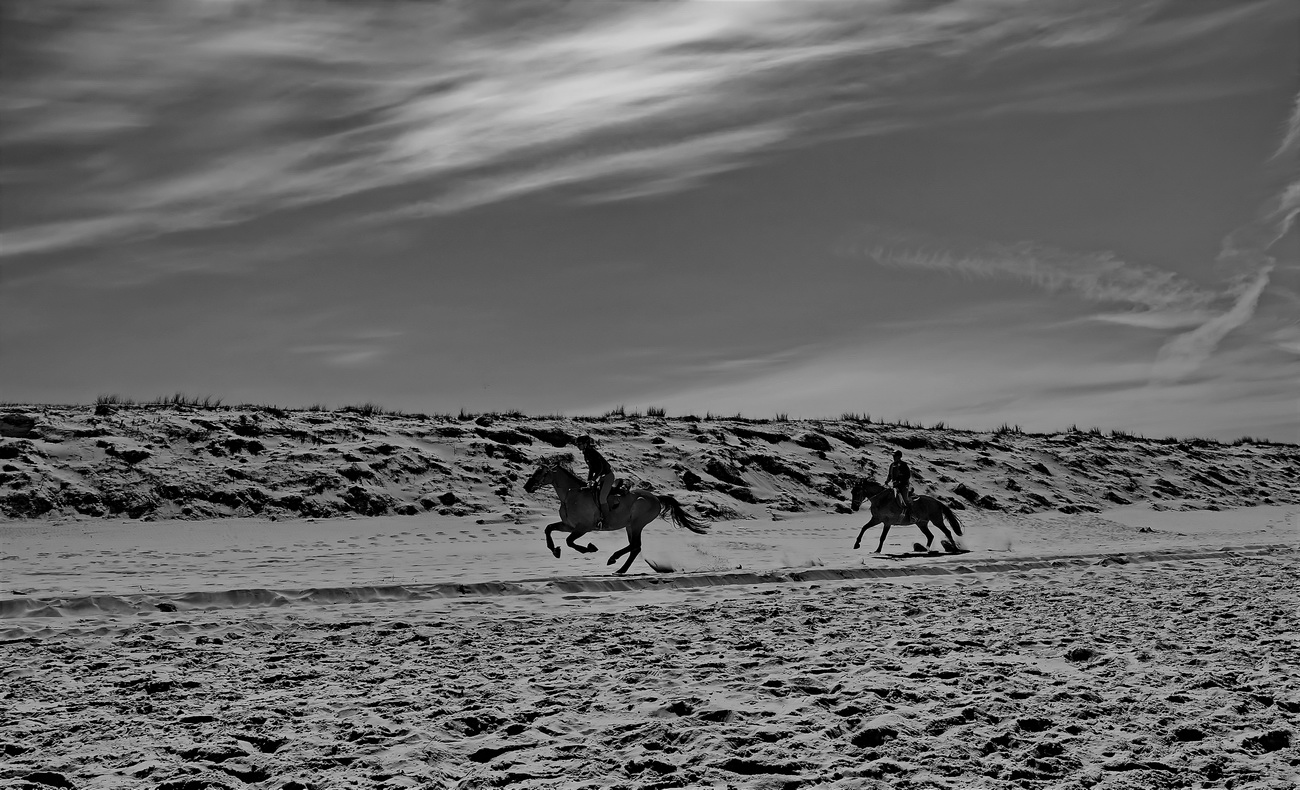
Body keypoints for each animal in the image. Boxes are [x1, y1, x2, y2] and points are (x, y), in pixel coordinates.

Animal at [520, 457, 712, 574]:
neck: (571, 495)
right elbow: (549, 529)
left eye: (541, 472)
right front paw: (555, 550)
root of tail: (656, 498)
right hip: (629, 526)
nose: (527, 487)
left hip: (637, 523)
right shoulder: (569, 525)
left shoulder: (583, 527)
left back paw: (614, 560)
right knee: (635, 547)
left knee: (635, 546)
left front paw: (590, 548)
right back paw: (620, 568)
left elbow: (569, 541)